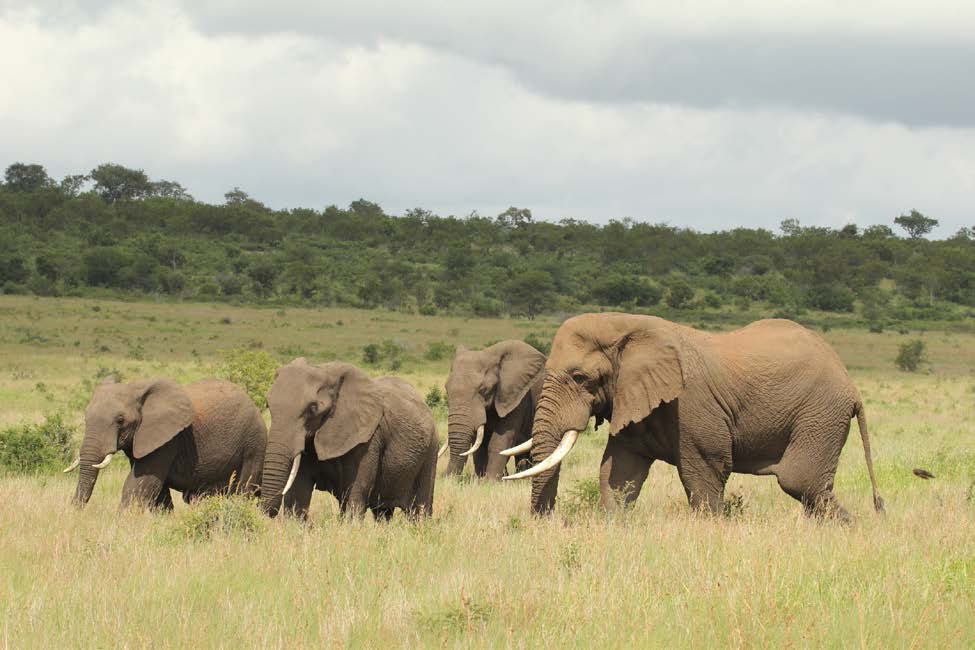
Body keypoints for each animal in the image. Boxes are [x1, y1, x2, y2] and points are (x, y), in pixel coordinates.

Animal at [67, 378, 266, 508]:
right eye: (85, 417)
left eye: (120, 420)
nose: (74, 509)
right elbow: (157, 489)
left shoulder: (169, 440)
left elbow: (140, 483)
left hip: (253, 444)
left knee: (242, 490)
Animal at [264, 356, 438, 520]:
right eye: (267, 405)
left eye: (313, 408)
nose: (268, 513)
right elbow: (298, 492)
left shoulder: (368, 438)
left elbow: (356, 490)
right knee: (382, 512)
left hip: (431, 451)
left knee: (420, 509)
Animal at [442, 340, 548, 476]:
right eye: (446, 389)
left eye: (483, 390)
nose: (443, 476)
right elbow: (480, 444)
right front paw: (480, 479)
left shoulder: (516, 396)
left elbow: (501, 439)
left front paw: (490, 480)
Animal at [508, 312, 888, 520]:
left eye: (580, 378)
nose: (544, 521)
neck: (628, 325)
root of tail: (850, 383)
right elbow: (618, 474)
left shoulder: (693, 405)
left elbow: (704, 475)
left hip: (820, 413)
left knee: (801, 482)